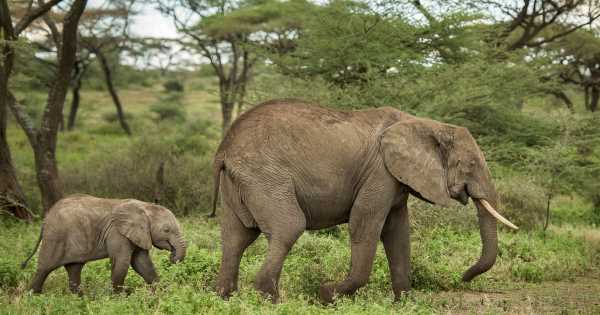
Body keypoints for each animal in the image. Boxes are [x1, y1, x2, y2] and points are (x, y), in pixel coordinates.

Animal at [21, 194, 185, 296]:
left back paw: (81, 299)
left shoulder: (137, 234)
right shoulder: (117, 233)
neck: (144, 206)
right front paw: (120, 297)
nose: (172, 257)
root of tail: (46, 219)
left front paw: (162, 292)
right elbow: (122, 262)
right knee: (44, 268)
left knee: (74, 268)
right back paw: (33, 297)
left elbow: (142, 263)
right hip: (55, 237)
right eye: (166, 230)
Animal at [211, 100, 516, 304]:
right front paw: (327, 295)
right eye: (472, 164)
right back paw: (270, 299)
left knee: (236, 236)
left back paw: (224, 297)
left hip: (241, 182)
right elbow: (364, 224)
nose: (462, 277)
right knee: (288, 226)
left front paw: (405, 303)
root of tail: (224, 149)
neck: (426, 123)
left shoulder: (396, 180)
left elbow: (397, 232)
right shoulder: (379, 173)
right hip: (264, 176)